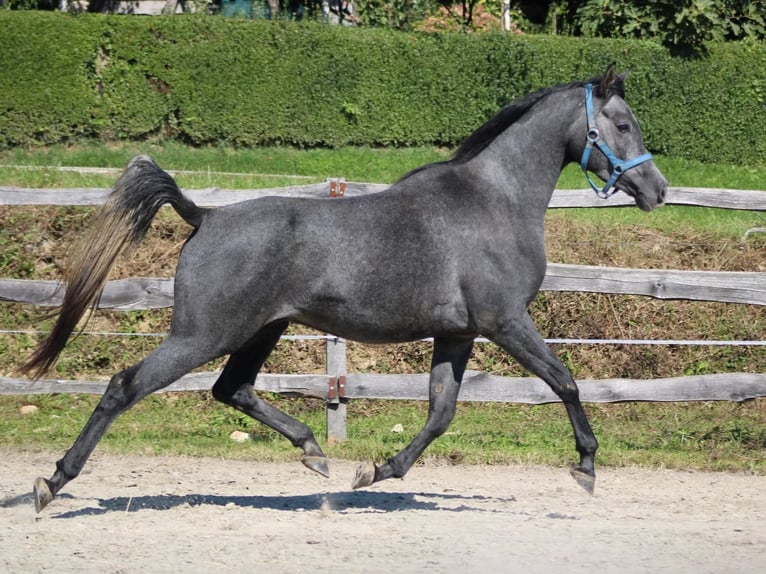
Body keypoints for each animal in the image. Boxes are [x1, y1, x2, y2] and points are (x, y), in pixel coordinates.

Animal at [22, 64, 667, 512]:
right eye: (624, 124)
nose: (657, 190)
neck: (493, 202)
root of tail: (204, 216)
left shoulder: (457, 335)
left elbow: (441, 413)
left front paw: (376, 471)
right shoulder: (505, 321)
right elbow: (565, 381)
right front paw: (586, 467)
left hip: (262, 329)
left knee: (232, 389)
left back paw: (315, 454)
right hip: (202, 334)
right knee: (125, 387)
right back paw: (52, 484)